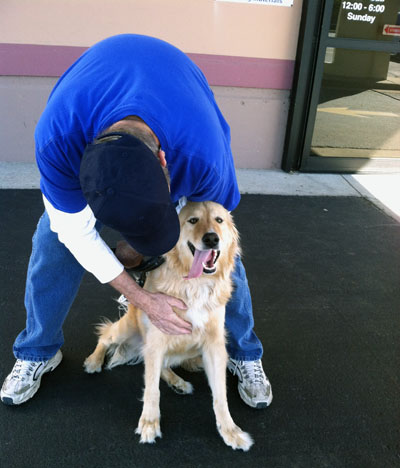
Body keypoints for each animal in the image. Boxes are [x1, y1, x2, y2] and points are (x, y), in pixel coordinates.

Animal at [84, 201, 253, 450]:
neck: (196, 283)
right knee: (106, 336)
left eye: (219, 220)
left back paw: (180, 380)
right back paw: (94, 361)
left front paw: (230, 431)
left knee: (164, 364)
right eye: (192, 220)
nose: (212, 238)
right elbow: (152, 389)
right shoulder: (156, 340)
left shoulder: (214, 345)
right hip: (127, 329)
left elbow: (220, 395)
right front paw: (149, 424)